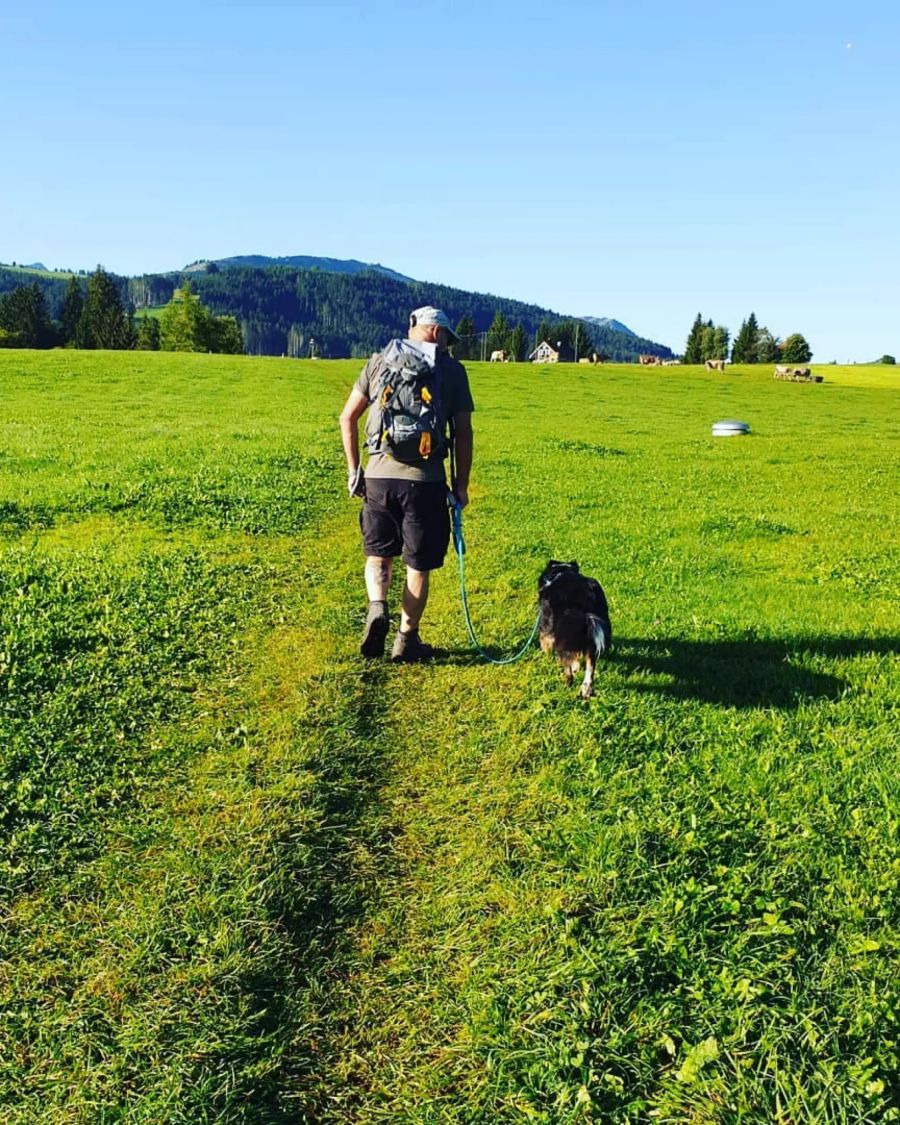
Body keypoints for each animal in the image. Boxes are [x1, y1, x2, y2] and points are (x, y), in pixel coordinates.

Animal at [542, 560, 612, 697]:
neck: (561, 572)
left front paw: (545, 655)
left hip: (564, 633)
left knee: (567, 668)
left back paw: (566, 685)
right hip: (593, 632)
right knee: (590, 666)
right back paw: (586, 690)